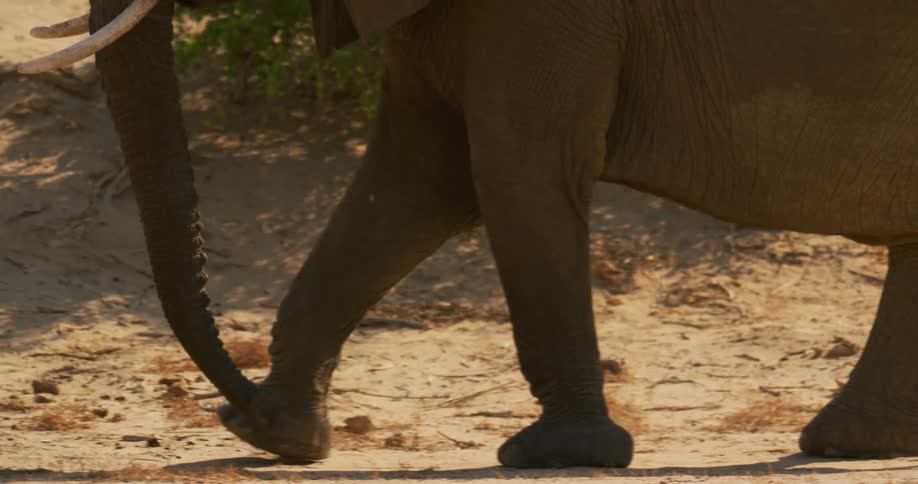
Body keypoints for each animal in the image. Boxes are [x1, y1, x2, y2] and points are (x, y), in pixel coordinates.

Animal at [18, 0, 918, 469]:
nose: (231, 395)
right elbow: (415, 176)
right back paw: (848, 445)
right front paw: (278, 435)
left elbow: (513, 173)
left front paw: (561, 455)